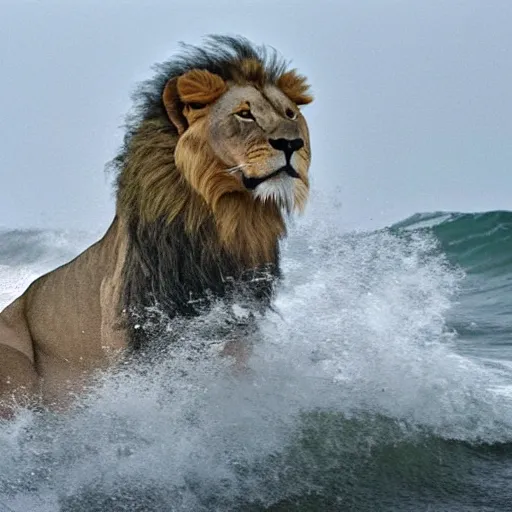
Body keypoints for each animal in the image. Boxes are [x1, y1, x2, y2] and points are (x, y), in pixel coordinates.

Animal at [0, 36, 312, 410]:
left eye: (289, 114)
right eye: (245, 114)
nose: (292, 143)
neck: (221, 220)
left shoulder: (238, 330)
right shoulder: (133, 331)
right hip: (14, 369)